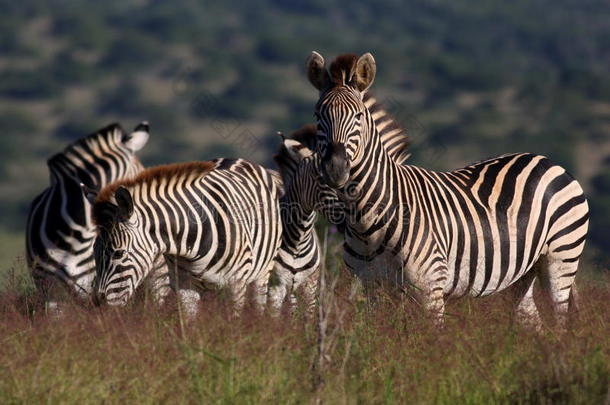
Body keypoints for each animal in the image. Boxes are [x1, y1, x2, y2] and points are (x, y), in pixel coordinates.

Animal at [91, 158, 282, 316]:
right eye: (94, 253)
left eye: (118, 253)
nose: (98, 302)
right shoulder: (184, 287)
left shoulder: (236, 285)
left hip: (263, 272)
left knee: (259, 302)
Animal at [306, 51, 588, 328]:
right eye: (318, 117)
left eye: (358, 117)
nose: (335, 168)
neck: (368, 222)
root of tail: (547, 160)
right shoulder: (372, 288)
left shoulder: (429, 289)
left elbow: (432, 339)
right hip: (522, 273)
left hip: (561, 258)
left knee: (560, 323)